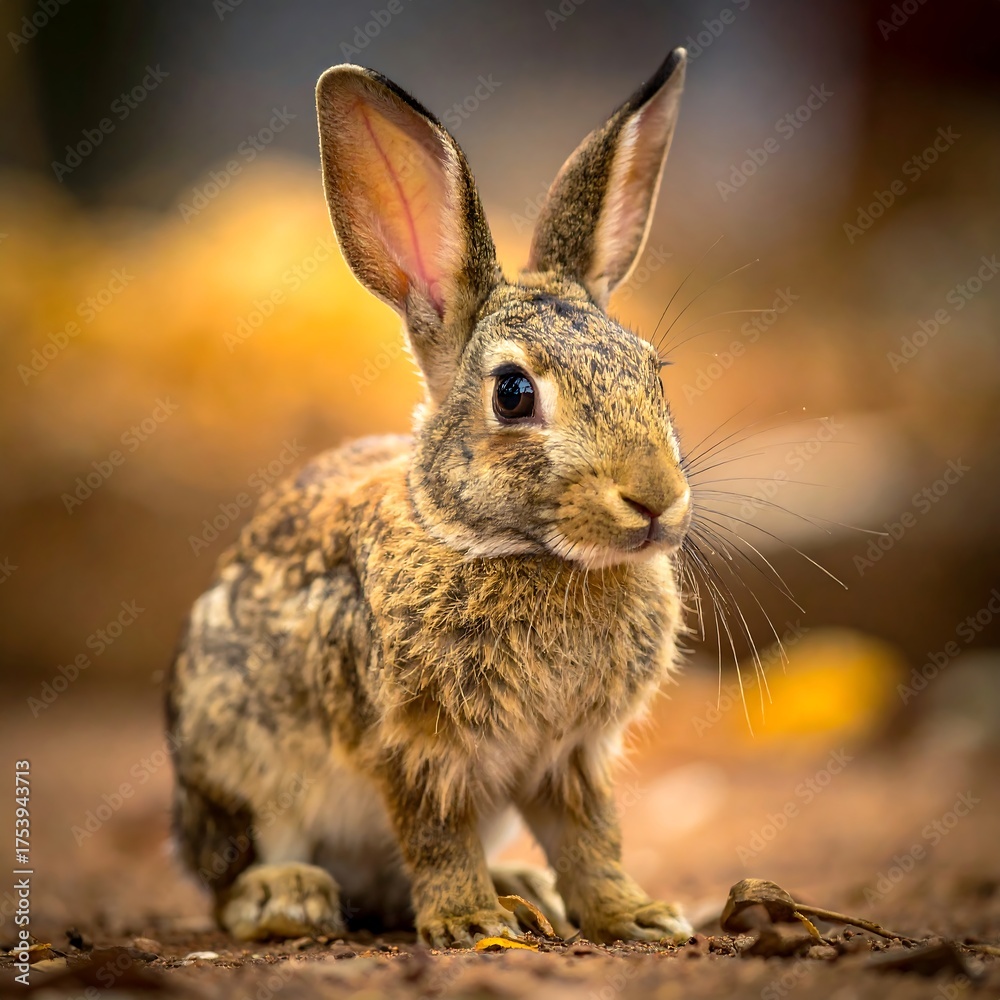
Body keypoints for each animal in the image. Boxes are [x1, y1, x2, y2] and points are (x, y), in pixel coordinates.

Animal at [166, 46, 696, 948]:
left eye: (651, 370)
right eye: (514, 394)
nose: (656, 500)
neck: (504, 545)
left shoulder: (570, 756)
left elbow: (592, 838)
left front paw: (640, 916)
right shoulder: (413, 745)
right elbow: (437, 835)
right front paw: (467, 920)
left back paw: (522, 885)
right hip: (237, 759)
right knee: (238, 874)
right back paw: (289, 897)